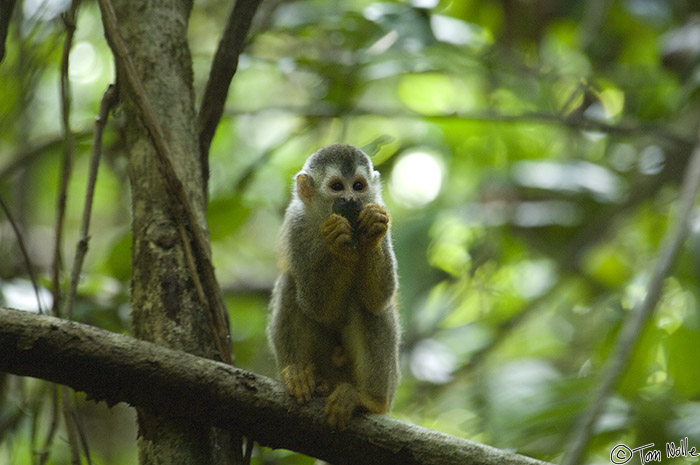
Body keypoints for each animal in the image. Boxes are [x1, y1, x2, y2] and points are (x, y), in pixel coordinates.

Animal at [266, 143, 400, 430]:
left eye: (358, 186)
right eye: (338, 187)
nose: (350, 200)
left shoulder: (380, 208)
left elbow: (378, 299)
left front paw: (372, 232)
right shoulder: (295, 225)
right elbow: (316, 306)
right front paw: (337, 239)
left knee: (369, 308)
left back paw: (371, 400)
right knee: (291, 285)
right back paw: (299, 375)